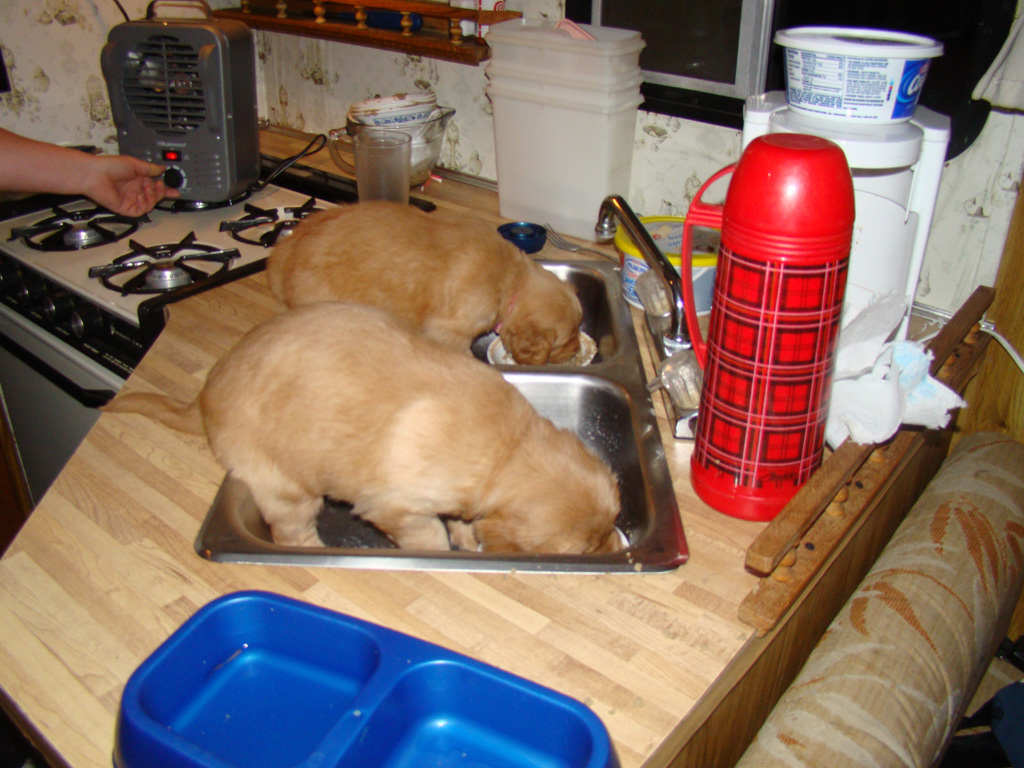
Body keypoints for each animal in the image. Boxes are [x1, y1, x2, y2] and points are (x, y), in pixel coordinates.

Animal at [103, 303, 618, 557]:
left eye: (613, 523)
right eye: (584, 547)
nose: (614, 549)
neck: (509, 450)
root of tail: (206, 393)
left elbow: (459, 519)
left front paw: (468, 539)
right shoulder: (396, 506)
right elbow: (428, 535)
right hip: (288, 487)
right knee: (290, 533)